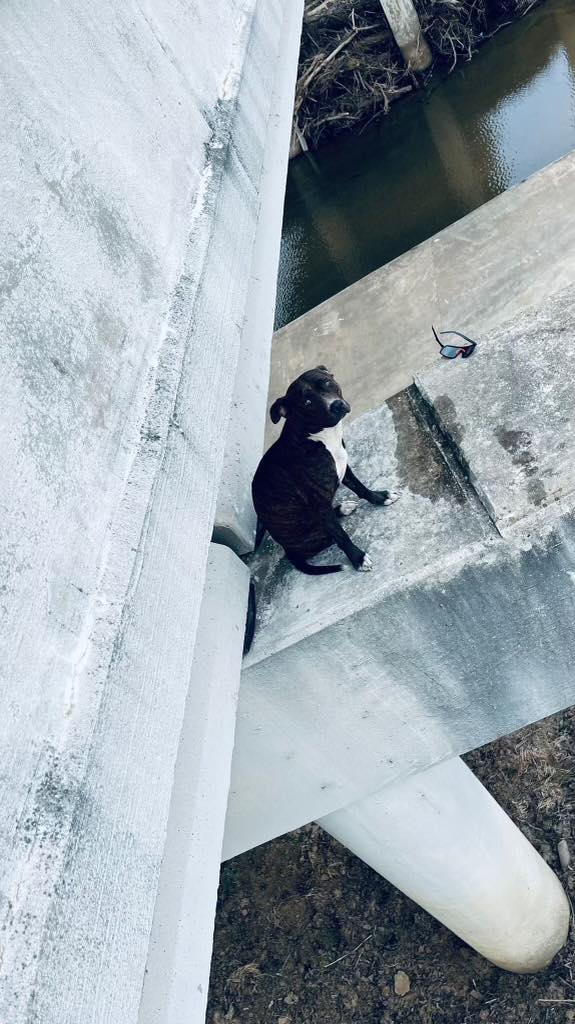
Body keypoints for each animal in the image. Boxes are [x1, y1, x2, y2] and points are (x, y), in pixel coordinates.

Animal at [252, 366, 396, 577]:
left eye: (327, 383)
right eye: (307, 402)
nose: (336, 405)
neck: (319, 437)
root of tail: (289, 551)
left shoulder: (343, 467)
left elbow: (360, 487)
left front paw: (380, 497)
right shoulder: (318, 503)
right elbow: (341, 536)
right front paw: (358, 558)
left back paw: (343, 508)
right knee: (328, 535)